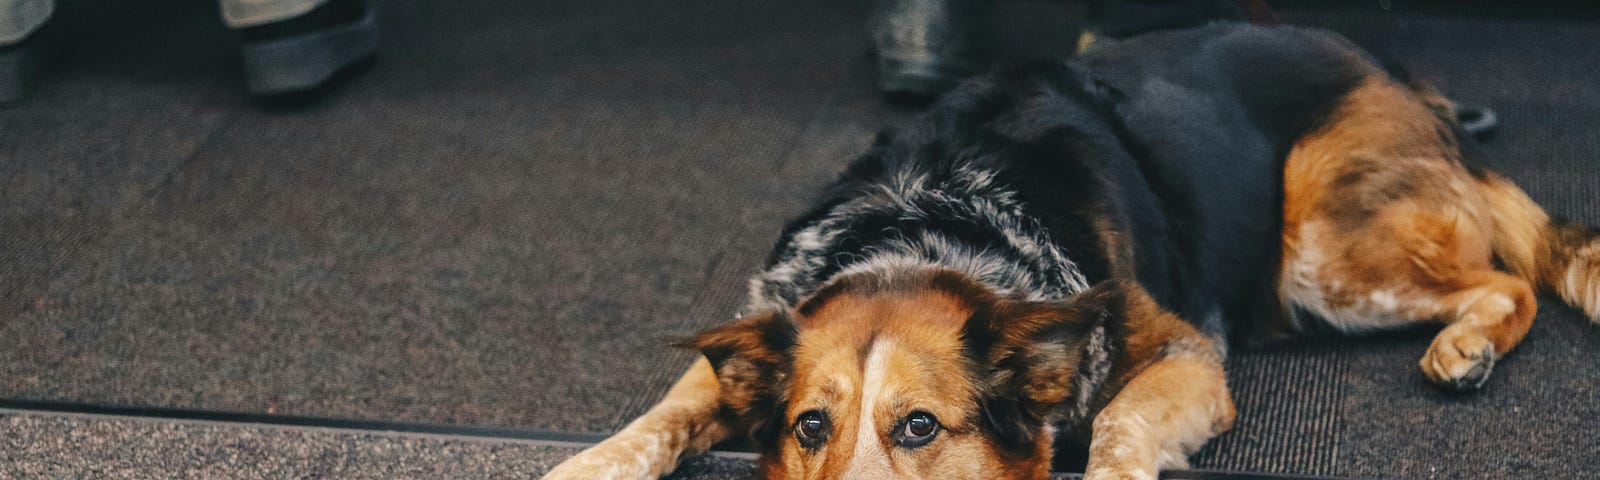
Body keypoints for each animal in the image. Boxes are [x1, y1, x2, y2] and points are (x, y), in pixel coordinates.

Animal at [547, 23, 1600, 480]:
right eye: (810, 426)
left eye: (920, 428)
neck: (923, 233)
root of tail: (1398, 75)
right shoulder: (754, 331)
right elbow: (664, 413)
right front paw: (593, 463)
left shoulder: (1183, 353)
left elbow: (1124, 425)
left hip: (1324, 252)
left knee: (1507, 280)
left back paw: (1465, 348)